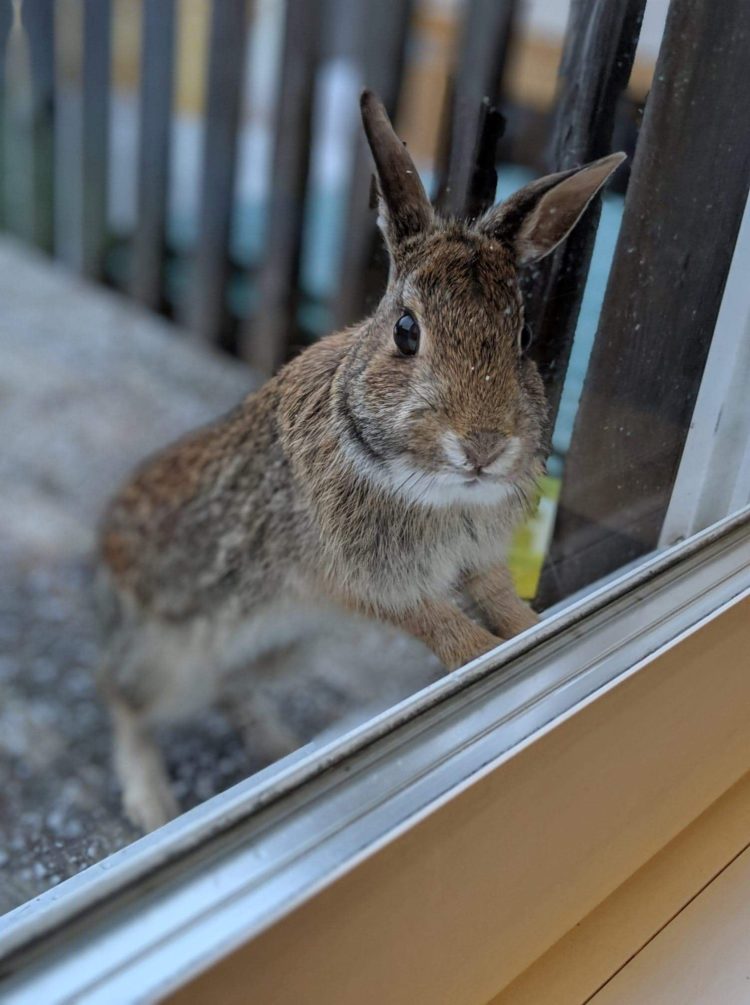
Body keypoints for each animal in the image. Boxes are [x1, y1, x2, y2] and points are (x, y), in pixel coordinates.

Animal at [96, 92, 623, 832]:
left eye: (521, 337)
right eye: (406, 332)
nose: (484, 446)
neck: (433, 484)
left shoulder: (478, 558)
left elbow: (502, 605)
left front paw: (537, 634)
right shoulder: (370, 582)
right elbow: (449, 631)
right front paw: (491, 658)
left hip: (280, 648)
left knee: (230, 689)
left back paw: (274, 740)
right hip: (171, 663)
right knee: (120, 698)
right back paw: (152, 801)